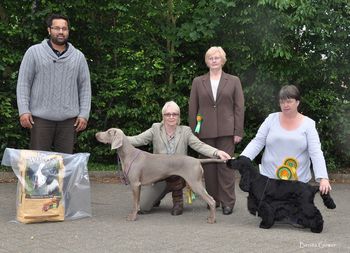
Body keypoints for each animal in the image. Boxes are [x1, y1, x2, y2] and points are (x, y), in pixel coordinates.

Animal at [95, 128, 227, 223]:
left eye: (109, 132)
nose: (96, 134)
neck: (128, 154)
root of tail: (197, 160)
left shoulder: (135, 184)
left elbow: (134, 203)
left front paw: (132, 217)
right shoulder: (138, 185)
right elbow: (138, 202)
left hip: (195, 183)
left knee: (211, 200)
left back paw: (212, 219)